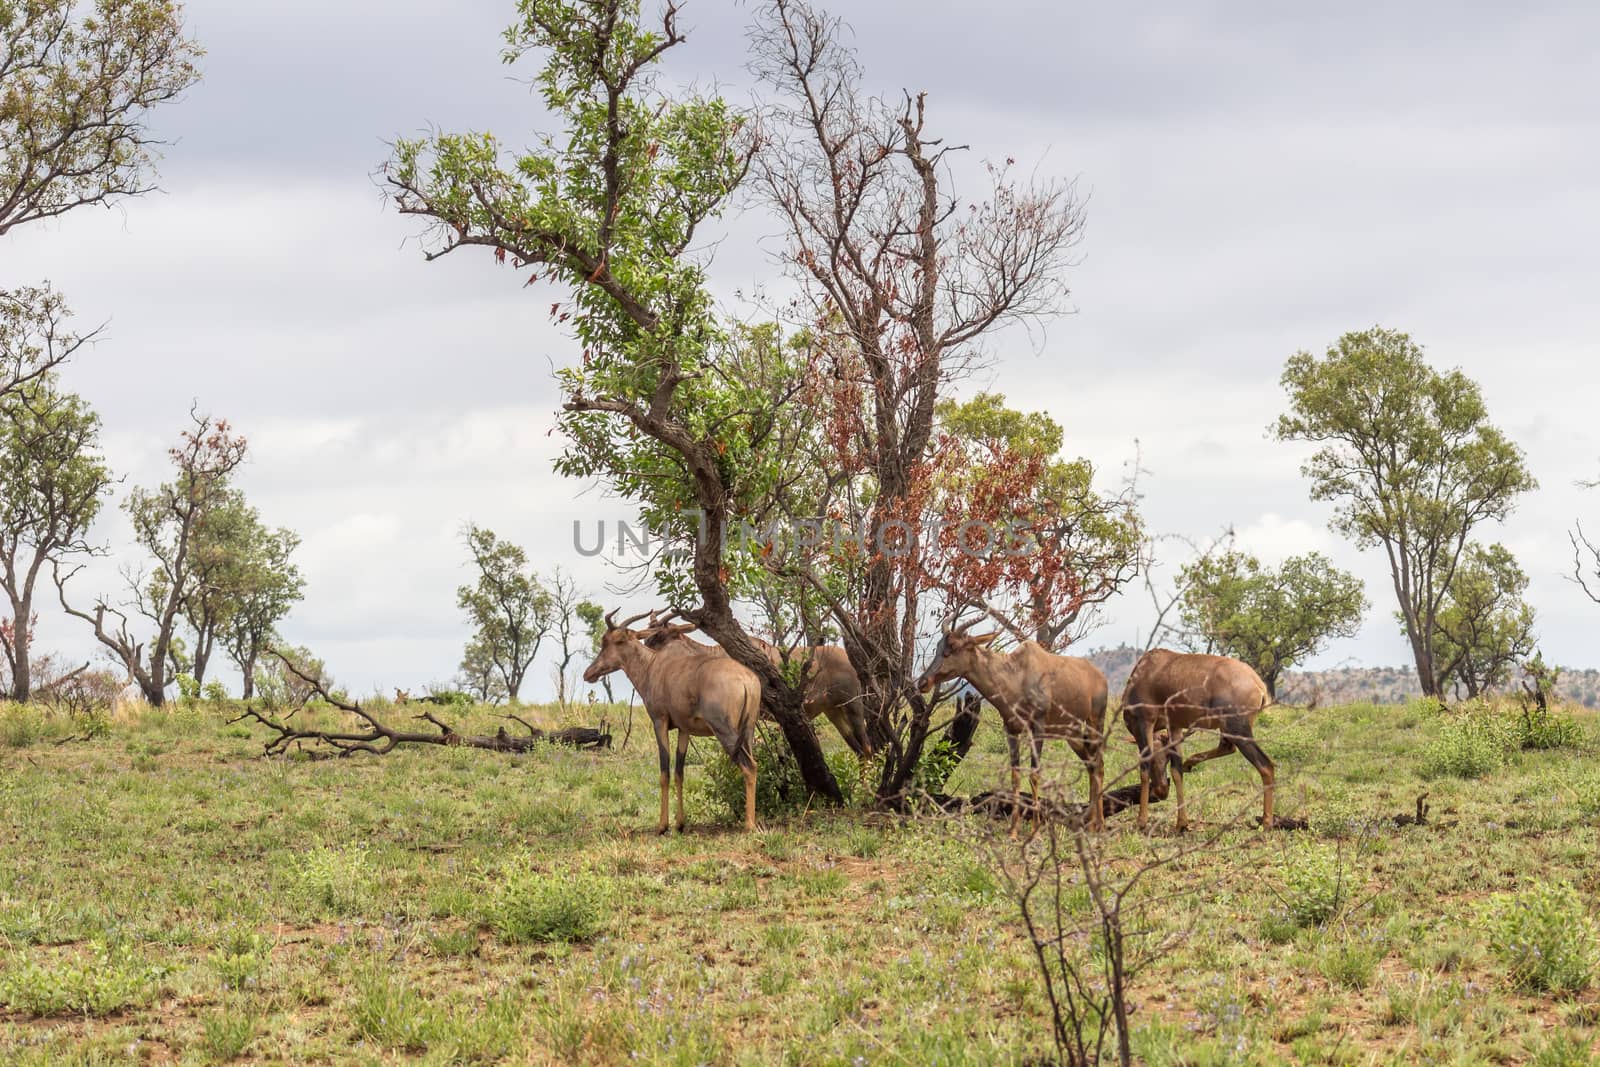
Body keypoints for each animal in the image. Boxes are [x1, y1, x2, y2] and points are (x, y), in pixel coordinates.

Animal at [585, 607, 764, 831]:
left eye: (614, 640)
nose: (588, 674)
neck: (655, 666)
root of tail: (747, 680)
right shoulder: (684, 729)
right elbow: (679, 772)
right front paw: (680, 823)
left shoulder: (660, 722)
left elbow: (664, 772)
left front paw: (662, 826)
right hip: (747, 731)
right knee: (754, 764)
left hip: (725, 730)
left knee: (749, 766)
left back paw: (749, 825)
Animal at [640, 617, 876, 758]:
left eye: (659, 634)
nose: (644, 649)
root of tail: (848, 659)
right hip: (833, 712)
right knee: (858, 749)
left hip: (853, 706)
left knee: (866, 747)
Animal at [915, 627, 1113, 831]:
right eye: (939, 645)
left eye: (953, 646)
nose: (923, 682)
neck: (1019, 673)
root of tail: (1099, 675)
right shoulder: (1011, 728)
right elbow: (1015, 775)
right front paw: (1013, 831)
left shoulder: (1037, 727)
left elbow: (1034, 774)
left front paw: (1035, 829)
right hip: (1071, 732)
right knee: (1091, 764)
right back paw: (1091, 823)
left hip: (1095, 720)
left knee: (1099, 764)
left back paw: (1100, 824)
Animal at [1120, 652, 1280, 831]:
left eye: (1163, 757)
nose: (1162, 792)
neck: (1147, 668)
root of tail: (1258, 685)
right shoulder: (1174, 727)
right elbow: (1176, 772)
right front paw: (1181, 824)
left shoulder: (1143, 722)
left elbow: (1144, 770)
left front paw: (1141, 822)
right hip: (1228, 728)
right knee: (1227, 748)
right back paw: (1189, 764)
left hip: (1237, 730)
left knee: (1265, 765)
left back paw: (1266, 822)